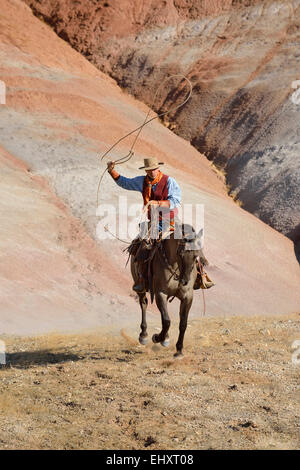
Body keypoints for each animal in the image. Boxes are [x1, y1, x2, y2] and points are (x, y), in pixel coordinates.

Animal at [129, 224, 202, 356]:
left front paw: (179, 350)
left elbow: (183, 323)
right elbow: (167, 321)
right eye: (180, 253)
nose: (185, 281)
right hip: (140, 287)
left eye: (195, 255)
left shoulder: (188, 297)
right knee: (144, 304)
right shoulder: (160, 294)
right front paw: (157, 337)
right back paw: (144, 335)